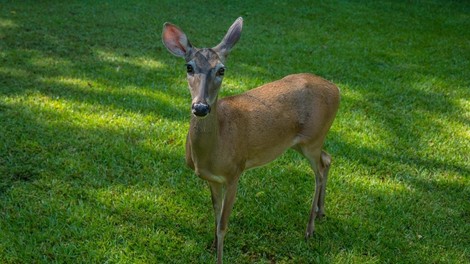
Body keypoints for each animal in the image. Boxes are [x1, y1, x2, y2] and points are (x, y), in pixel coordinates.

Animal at [163, 17, 340, 262]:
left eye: (221, 70)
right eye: (189, 67)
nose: (200, 107)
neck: (213, 149)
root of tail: (337, 89)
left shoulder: (234, 172)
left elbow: (223, 225)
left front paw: (219, 257)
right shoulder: (212, 179)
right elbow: (215, 215)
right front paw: (212, 245)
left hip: (314, 137)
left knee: (319, 172)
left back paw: (309, 229)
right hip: (302, 142)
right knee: (328, 157)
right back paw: (321, 213)